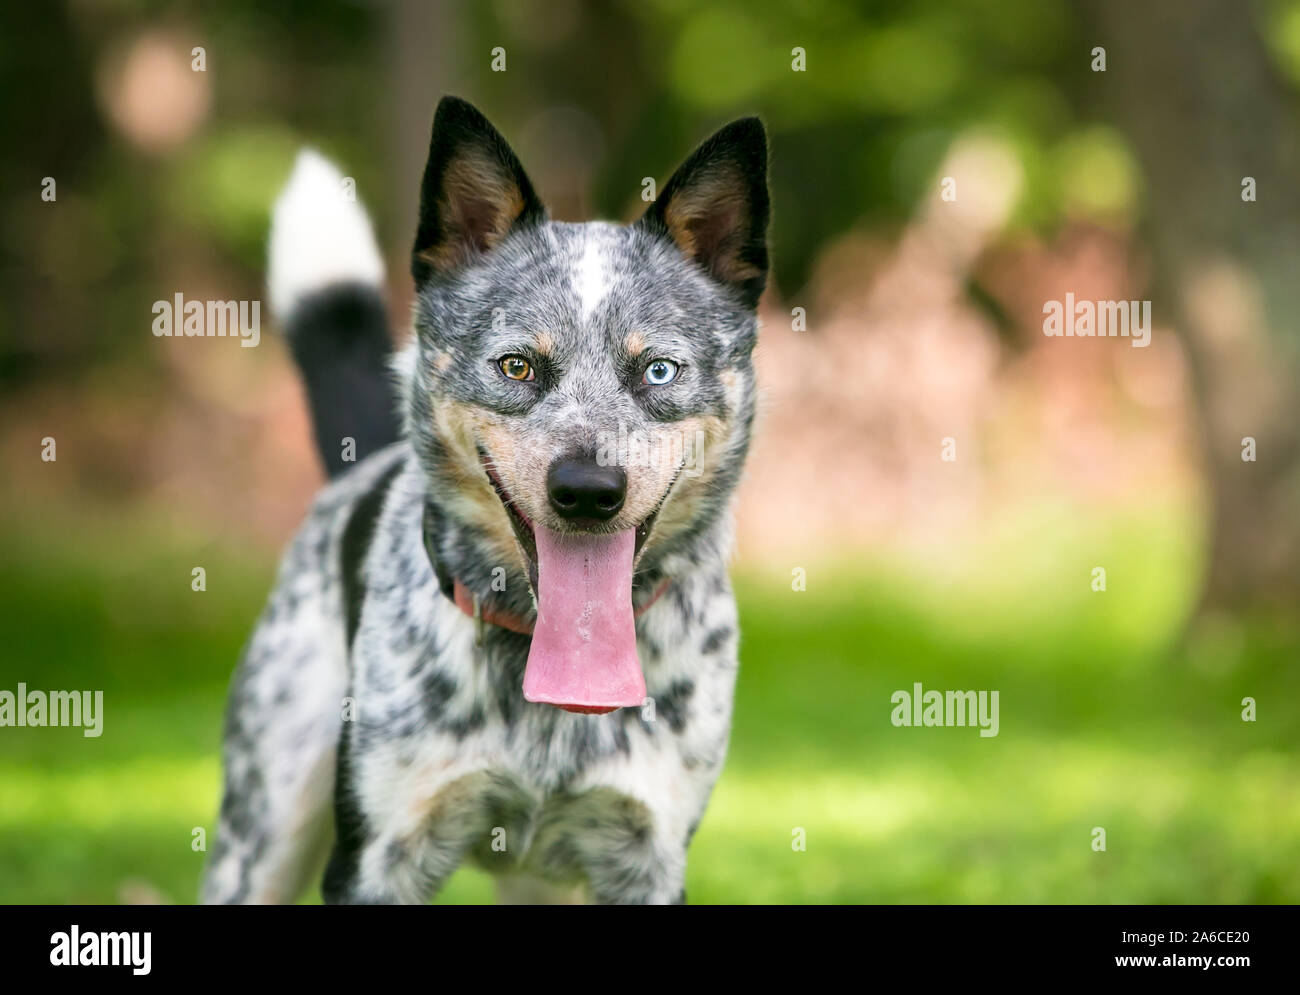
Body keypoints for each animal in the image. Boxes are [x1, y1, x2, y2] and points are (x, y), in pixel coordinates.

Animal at [201, 96, 764, 905]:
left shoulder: (648, 859)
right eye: (517, 365)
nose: (587, 491)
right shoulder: (374, 857)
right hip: (261, 831)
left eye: (658, 370)